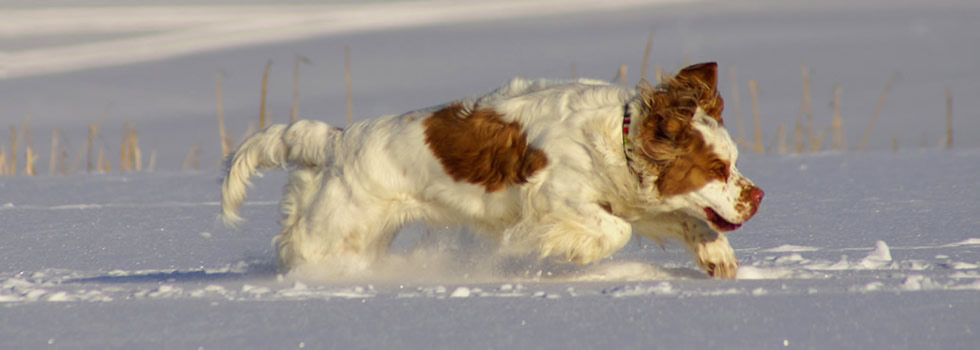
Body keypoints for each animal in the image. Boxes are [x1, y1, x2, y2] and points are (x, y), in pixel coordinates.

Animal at [224, 60, 764, 278]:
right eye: (716, 167)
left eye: (734, 162)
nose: (758, 198)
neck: (619, 134)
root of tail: (336, 141)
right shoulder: (554, 197)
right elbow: (613, 231)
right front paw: (572, 253)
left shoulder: (628, 198)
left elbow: (686, 219)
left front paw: (718, 257)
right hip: (334, 232)